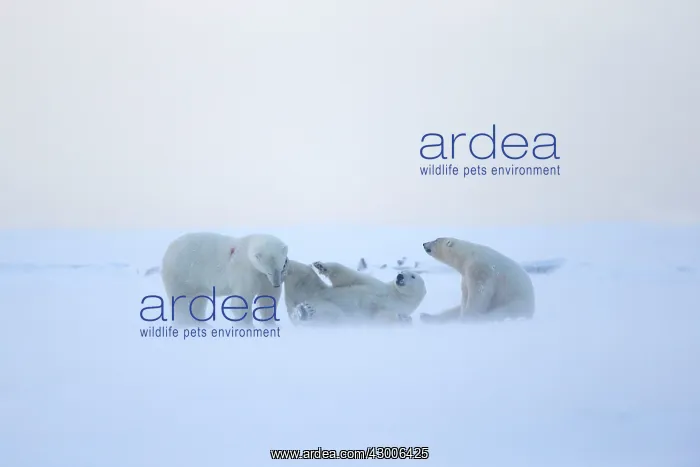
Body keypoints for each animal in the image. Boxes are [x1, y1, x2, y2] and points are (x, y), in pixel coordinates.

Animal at [160, 232, 289, 328]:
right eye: (269, 271)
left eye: (281, 267)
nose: (276, 283)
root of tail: (167, 252)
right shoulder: (245, 271)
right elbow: (241, 300)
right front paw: (247, 326)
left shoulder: (263, 277)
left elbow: (268, 297)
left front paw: (271, 325)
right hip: (182, 274)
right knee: (181, 300)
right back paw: (184, 325)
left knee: (198, 300)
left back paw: (203, 325)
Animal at [283, 260, 426, 326]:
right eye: (402, 272)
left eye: (413, 276)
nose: (400, 276)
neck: (395, 296)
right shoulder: (376, 286)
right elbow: (349, 276)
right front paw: (321, 265)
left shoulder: (397, 308)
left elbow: (383, 317)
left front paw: (404, 319)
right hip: (311, 287)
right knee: (300, 270)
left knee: (329, 314)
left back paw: (305, 311)